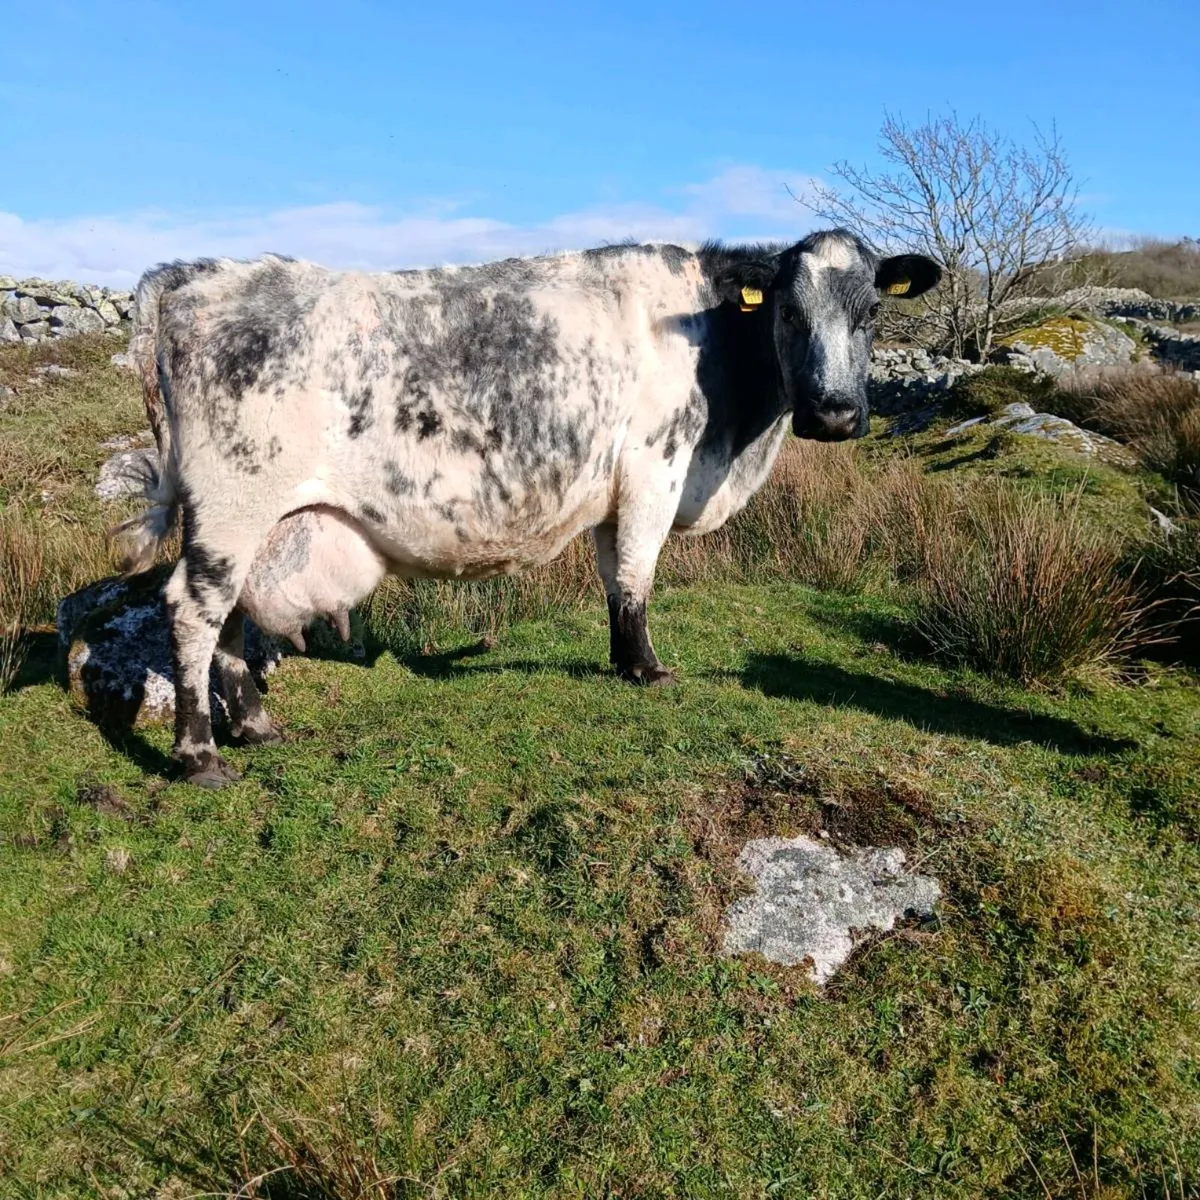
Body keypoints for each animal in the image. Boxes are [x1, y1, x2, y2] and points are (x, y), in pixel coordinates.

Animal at [117, 229, 940, 787]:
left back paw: (256, 725)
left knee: (227, 615)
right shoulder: (654, 470)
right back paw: (199, 754)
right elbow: (639, 573)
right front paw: (649, 669)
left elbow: (615, 578)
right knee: (193, 608)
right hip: (232, 504)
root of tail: (201, 275)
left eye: (871, 312)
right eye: (789, 314)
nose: (833, 414)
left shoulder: (613, 493)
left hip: (240, 520)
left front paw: (622, 660)